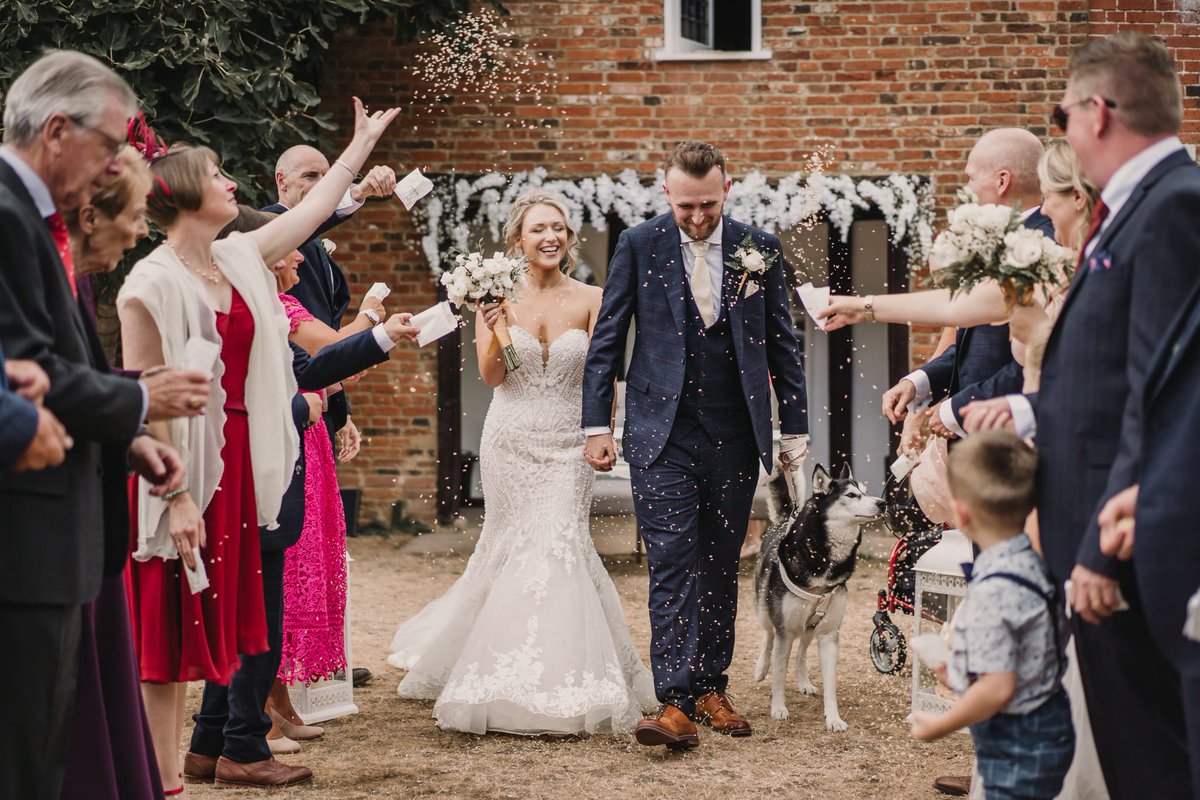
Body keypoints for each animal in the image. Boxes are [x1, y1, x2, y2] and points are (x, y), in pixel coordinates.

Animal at [753, 462, 888, 734]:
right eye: (851, 495)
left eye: (865, 490)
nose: (882, 503)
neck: (822, 560)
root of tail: (784, 519)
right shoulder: (785, 631)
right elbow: (779, 674)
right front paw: (778, 708)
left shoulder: (828, 634)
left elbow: (830, 685)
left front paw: (833, 718)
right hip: (766, 610)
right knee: (767, 634)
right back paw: (761, 667)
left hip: (810, 626)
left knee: (801, 652)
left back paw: (804, 681)